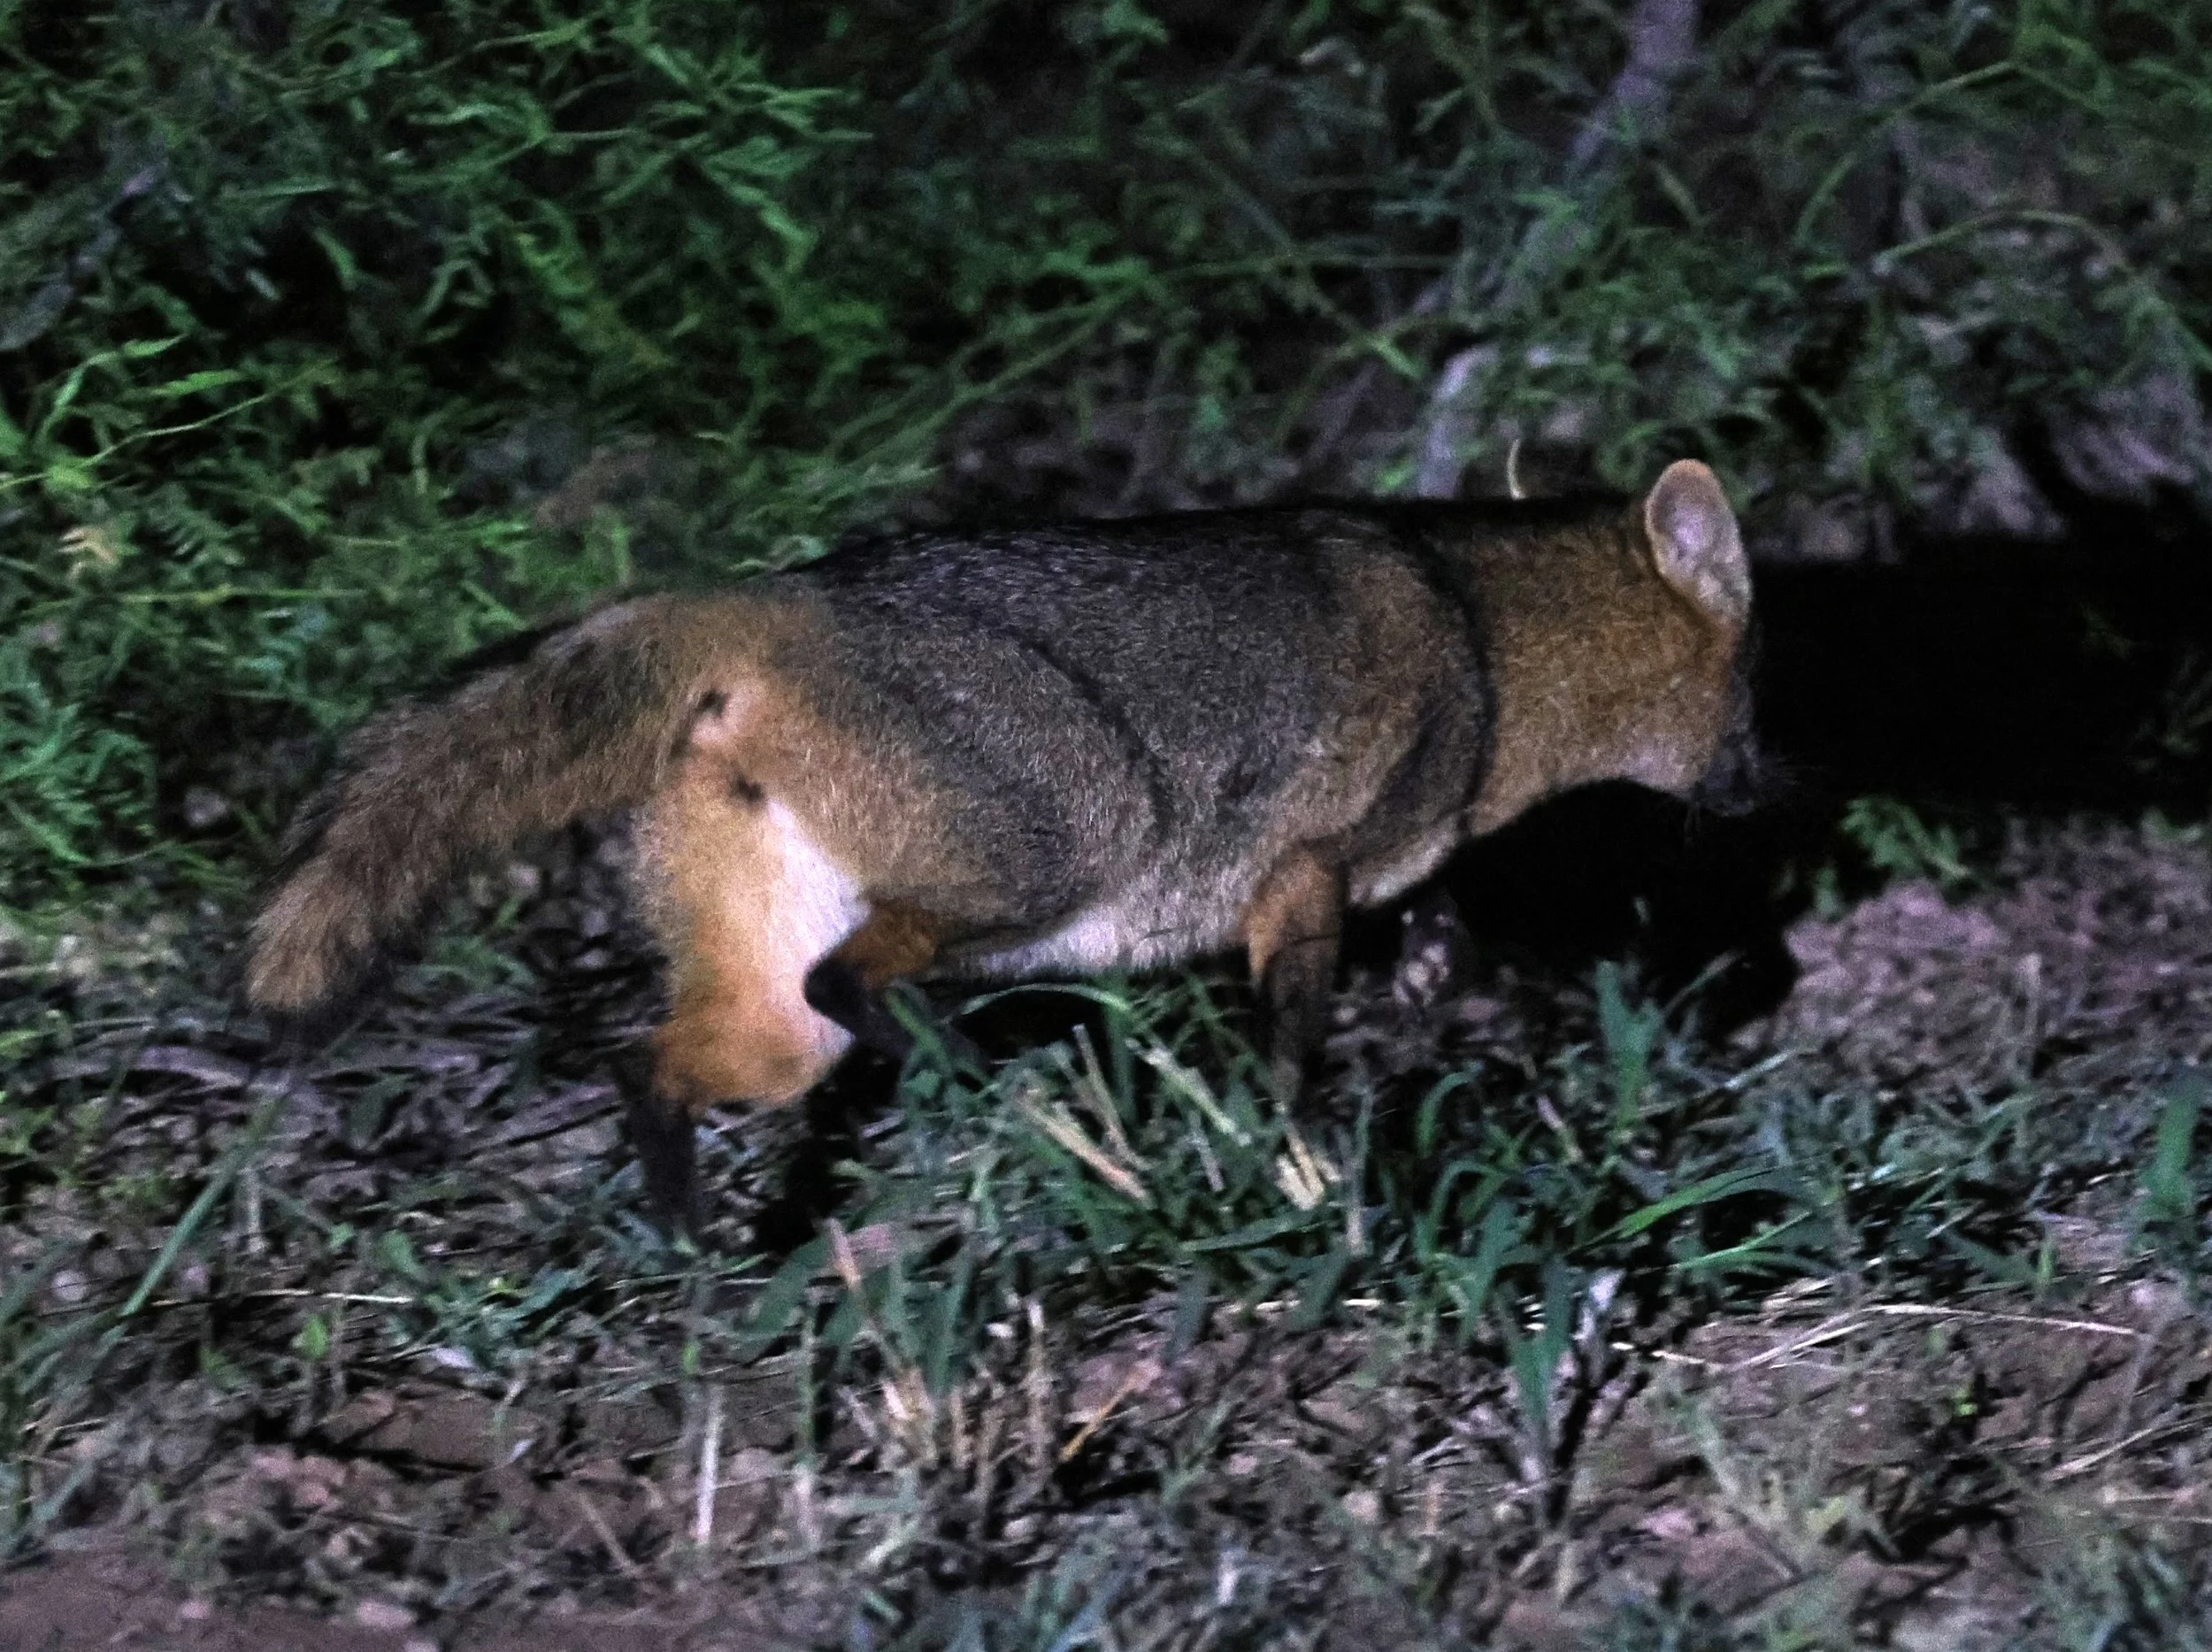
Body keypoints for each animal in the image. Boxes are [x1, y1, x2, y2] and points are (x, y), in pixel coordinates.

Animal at [247, 459, 1759, 1223]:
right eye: (1760, 696)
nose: (1765, 791)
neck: (1481, 630)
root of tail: (773, 594)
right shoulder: (1301, 877)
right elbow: (1292, 1044)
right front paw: (1308, 1162)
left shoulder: (1354, 883)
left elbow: (1433, 933)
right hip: (1059, 848)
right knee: (856, 978)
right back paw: (990, 1086)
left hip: (777, 1023)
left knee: (656, 1057)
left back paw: (689, 1235)